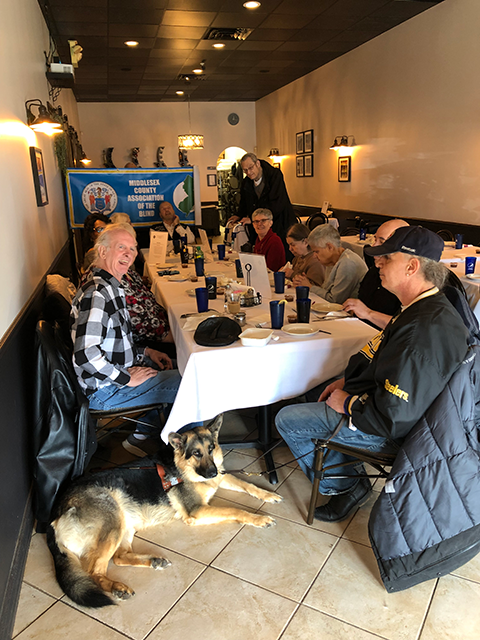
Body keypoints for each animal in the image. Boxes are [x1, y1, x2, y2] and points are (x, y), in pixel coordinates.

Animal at [46, 416, 282, 608]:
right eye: (196, 453)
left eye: (211, 448)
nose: (212, 472)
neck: (183, 468)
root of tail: (56, 513)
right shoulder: (197, 511)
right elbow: (235, 509)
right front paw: (258, 518)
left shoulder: (222, 478)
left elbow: (247, 484)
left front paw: (268, 494)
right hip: (113, 523)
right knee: (95, 571)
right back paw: (116, 588)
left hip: (124, 526)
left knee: (119, 558)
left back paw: (153, 561)